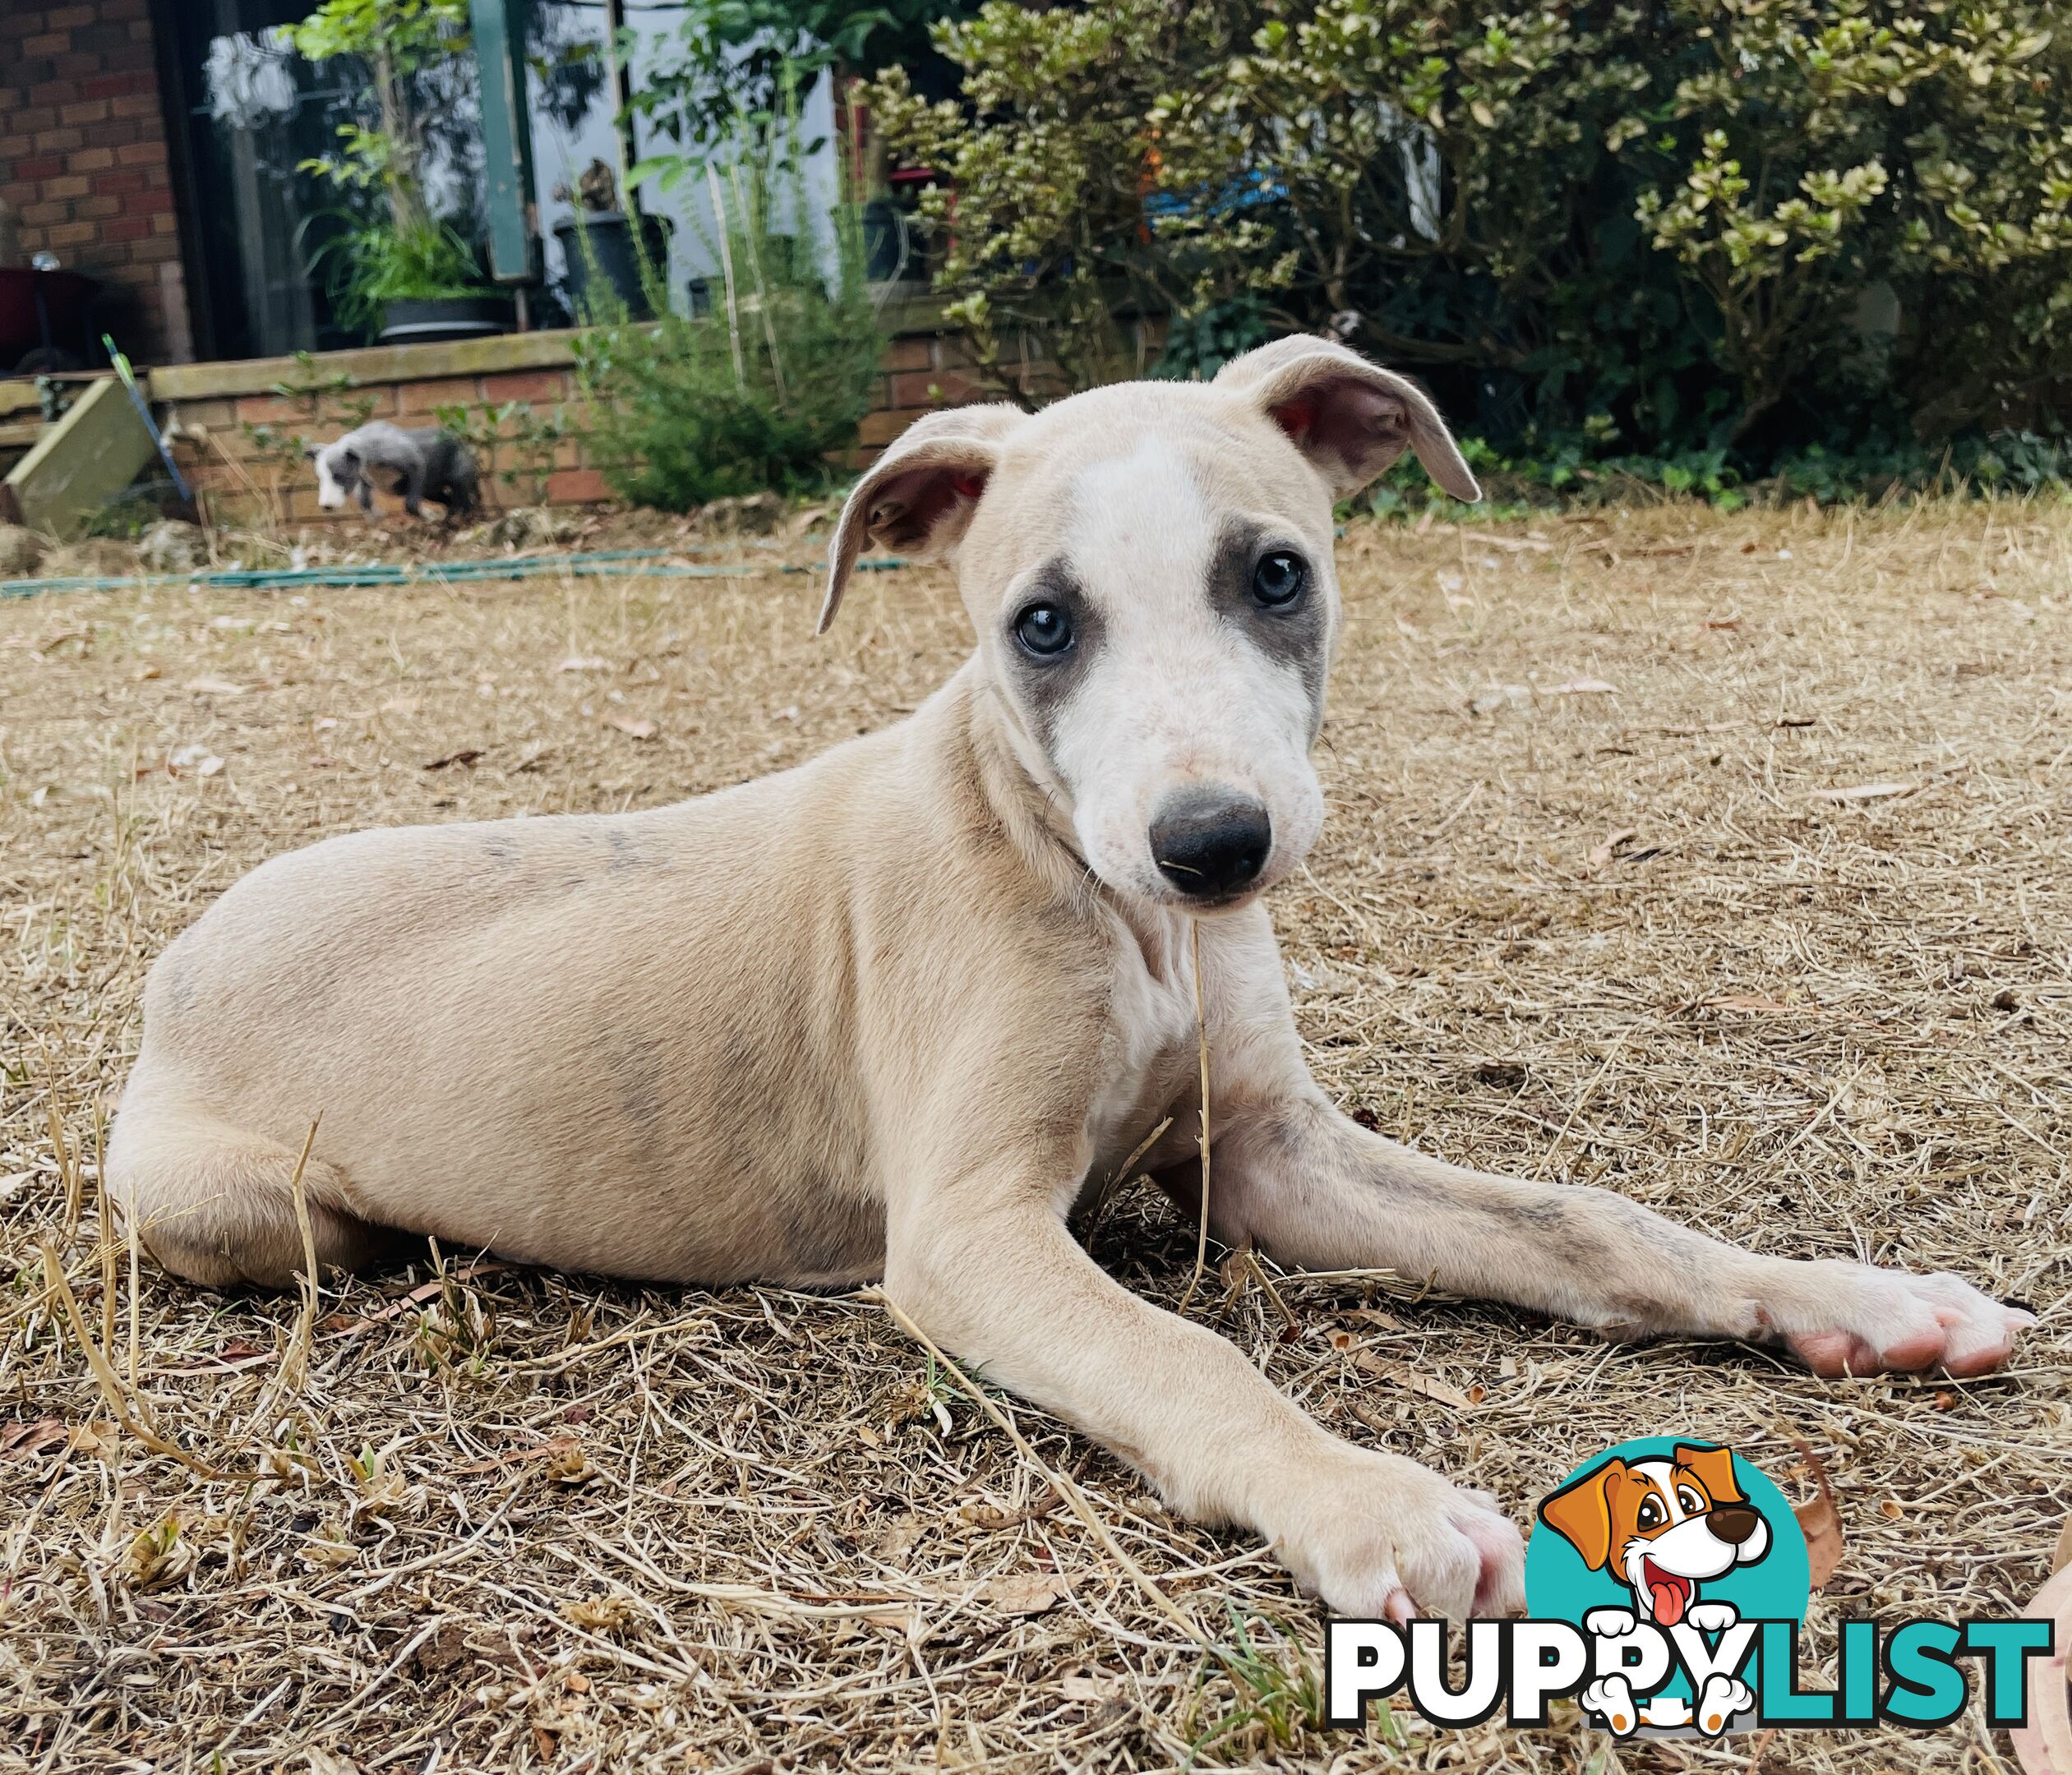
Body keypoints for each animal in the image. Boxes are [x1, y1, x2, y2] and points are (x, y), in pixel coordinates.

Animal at [104, 335, 2030, 1624]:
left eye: (1277, 572)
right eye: (1041, 624)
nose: (1214, 844)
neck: (1112, 909)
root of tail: (184, 947)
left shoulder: (1272, 1157)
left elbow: (1588, 1221)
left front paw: (1855, 1299)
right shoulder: (969, 1235)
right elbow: (1185, 1359)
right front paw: (1369, 1503)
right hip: (242, 1210)